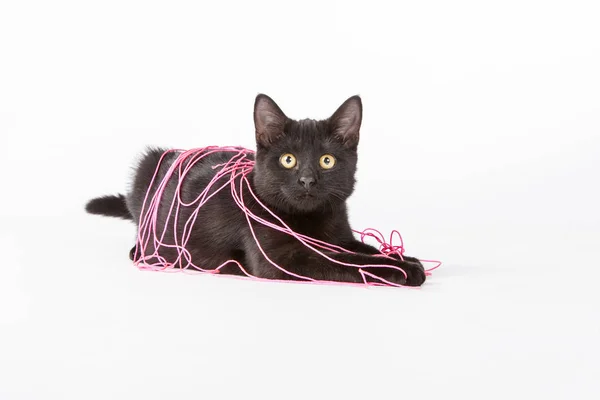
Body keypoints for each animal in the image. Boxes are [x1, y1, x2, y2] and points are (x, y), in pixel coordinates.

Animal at [86, 95, 426, 286]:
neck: (311, 221)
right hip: (148, 165)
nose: (307, 180)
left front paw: (406, 259)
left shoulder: (341, 236)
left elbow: (364, 251)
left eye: (326, 161)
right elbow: (348, 262)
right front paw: (403, 270)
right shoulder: (281, 258)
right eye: (288, 160)